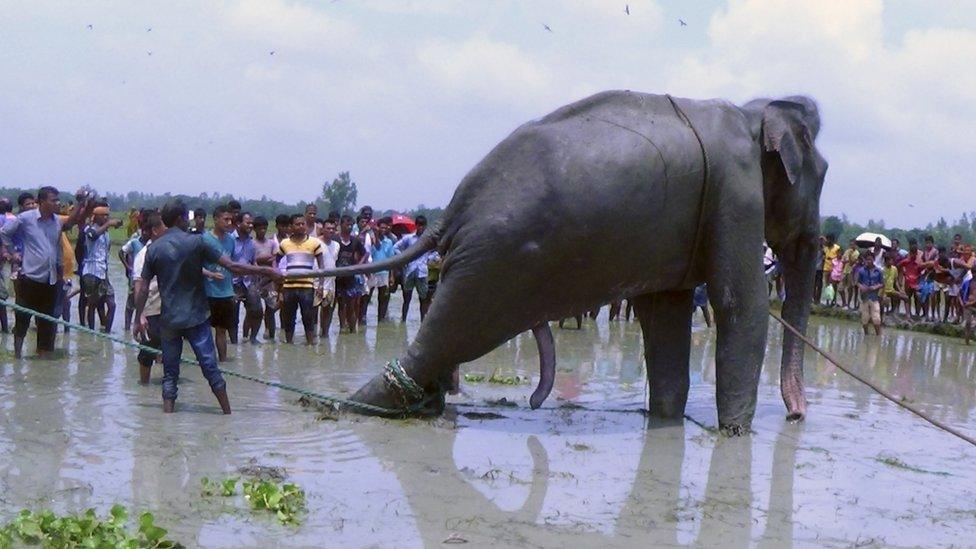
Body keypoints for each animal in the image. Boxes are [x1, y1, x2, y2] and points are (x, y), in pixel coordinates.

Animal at [296, 90, 824, 432]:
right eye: (822, 174)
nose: (798, 416)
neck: (753, 113)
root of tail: (451, 212)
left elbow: (665, 315)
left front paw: (667, 420)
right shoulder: (735, 195)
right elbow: (740, 305)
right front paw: (734, 436)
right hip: (497, 261)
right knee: (452, 333)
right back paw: (351, 409)